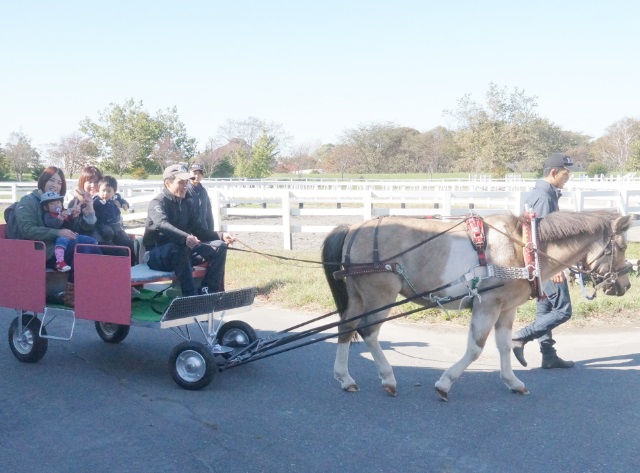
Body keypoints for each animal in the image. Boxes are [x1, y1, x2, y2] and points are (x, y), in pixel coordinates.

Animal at [322, 210, 632, 398]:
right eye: (623, 246)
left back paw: (345, 377)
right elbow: (475, 348)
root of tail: (354, 228)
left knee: (346, 327)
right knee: (368, 332)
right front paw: (445, 383)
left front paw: (513, 381)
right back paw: (387, 378)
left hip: (359, 296)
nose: (626, 285)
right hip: (380, 296)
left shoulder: (506, 309)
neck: (522, 247)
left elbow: (504, 346)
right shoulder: (488, 306)